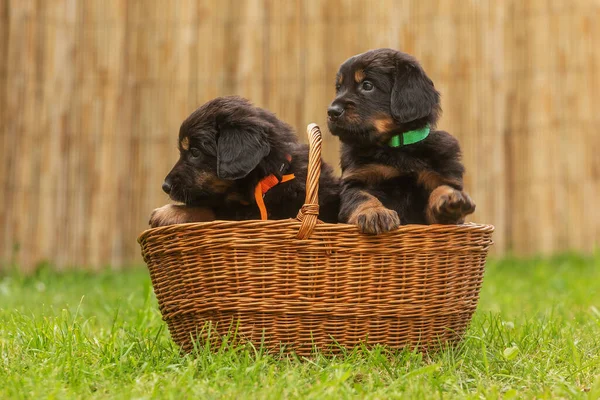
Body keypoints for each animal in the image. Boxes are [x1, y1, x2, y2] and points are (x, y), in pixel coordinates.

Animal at [328, 48, 474, 234]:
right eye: (339, 88)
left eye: (367, 85)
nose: (332, 112)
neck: (398, 147)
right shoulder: (355, 181)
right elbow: (361, 196)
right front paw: (375, 212)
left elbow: (440, 190)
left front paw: (450, 199)